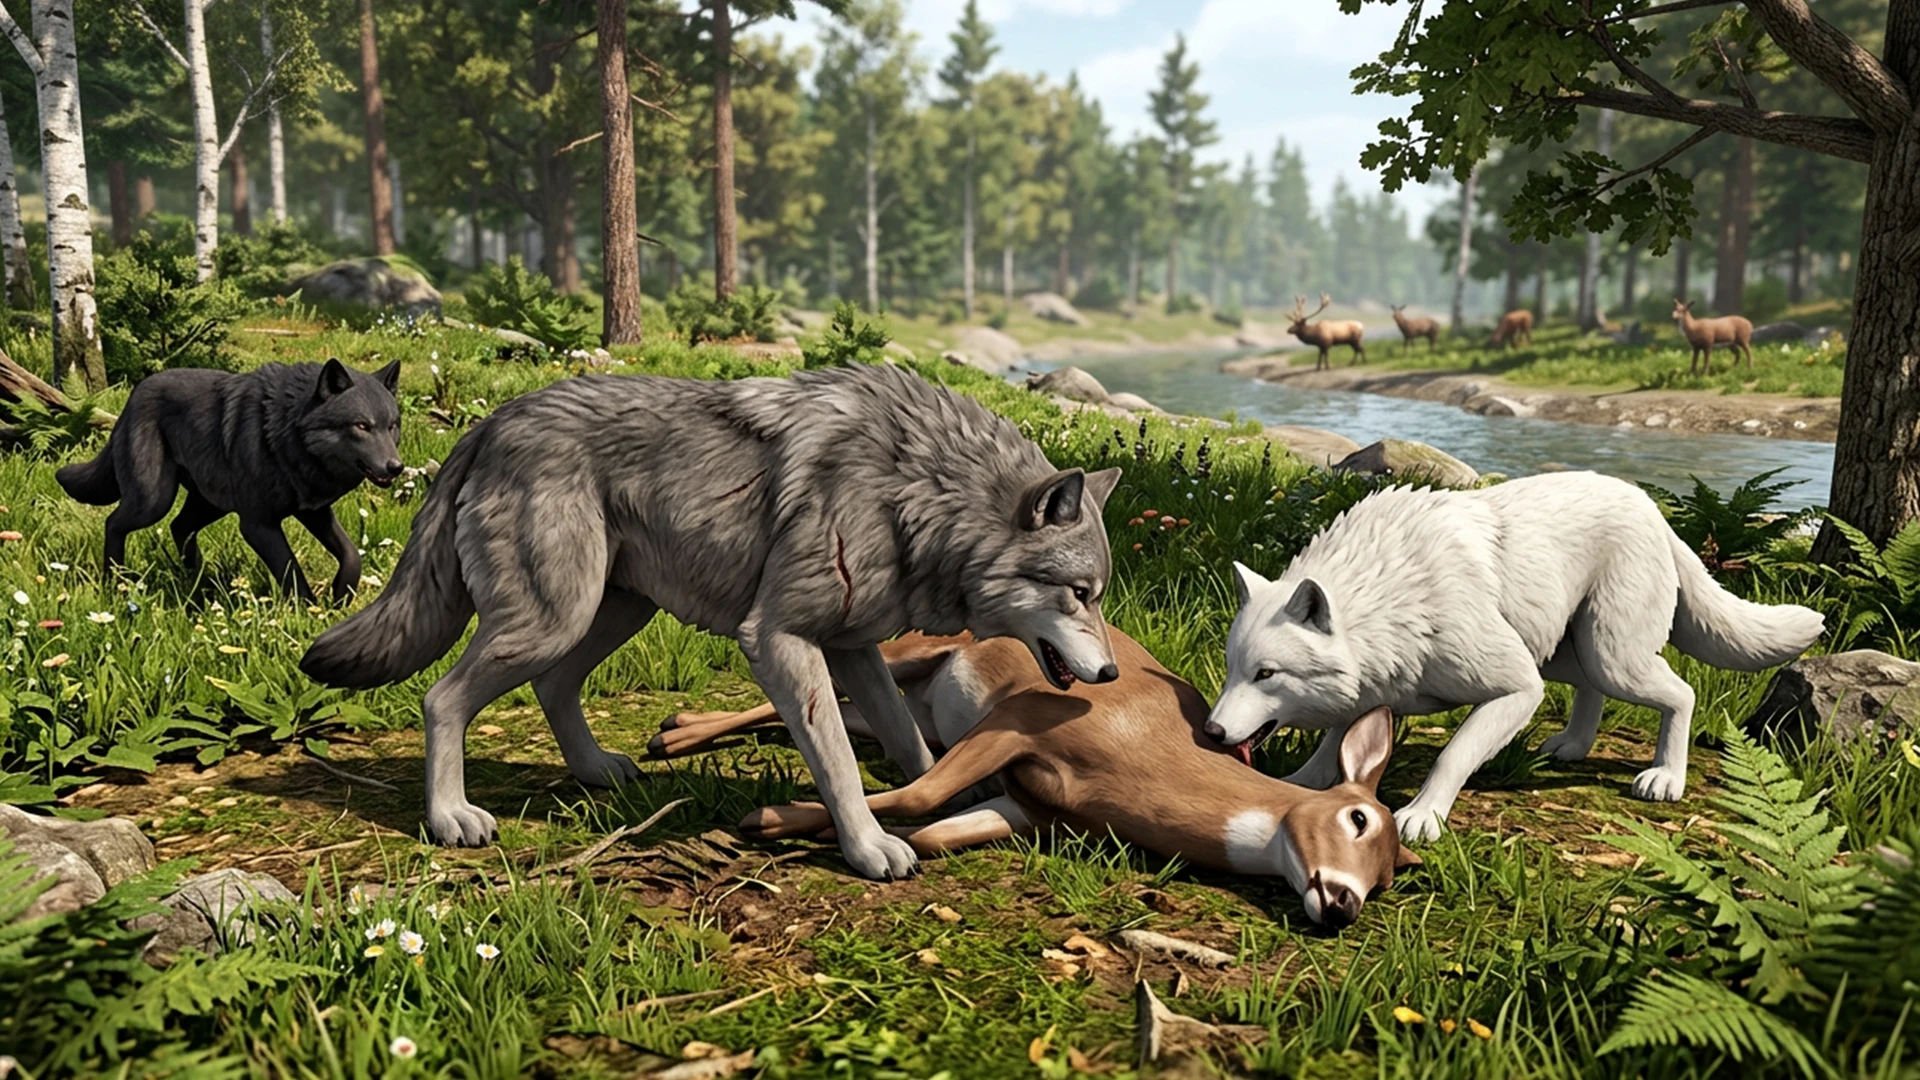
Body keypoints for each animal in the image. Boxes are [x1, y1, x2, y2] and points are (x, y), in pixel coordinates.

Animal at [56, 358, 403, 600]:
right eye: (362, 426)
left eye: (392, 426)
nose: (396, 467)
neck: (285, 434)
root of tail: (134, 395)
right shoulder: (258, 525)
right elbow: (291, 571)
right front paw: (308, 613)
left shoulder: (314, 512)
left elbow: (351, 556)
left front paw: (340, 596)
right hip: (154, 501)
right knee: (114, 522)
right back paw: (116, 582)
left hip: (210, 504)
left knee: (179, 527)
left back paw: (200, 582)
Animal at [298, 363, 1122, 880]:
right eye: (1080, 593)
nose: (1113, 673)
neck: (917, 491)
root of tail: (491, 422)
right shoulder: (782, 640)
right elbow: (839, 761)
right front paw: (867, 848)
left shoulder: (851, 648)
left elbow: (907, 743)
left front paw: (941, 797)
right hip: (553, 620)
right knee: (442, 698)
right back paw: (449, 817)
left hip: (608, 614)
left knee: (554, 688)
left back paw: (595, 771)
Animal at [1204, 471, 1825, 843]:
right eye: (1234, 669)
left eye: (1266, 674)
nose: (1210, 733)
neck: (1396, 595)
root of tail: (1652, 508)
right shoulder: (1376, 687)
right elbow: (1334, 746)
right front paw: (1302, 781)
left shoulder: (1516, 687)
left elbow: (1452, 756)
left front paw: (1422, 816)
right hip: (1565, 651)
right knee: (1592, 691)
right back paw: (1572, 746)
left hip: (1609, 655)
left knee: (1682, 692)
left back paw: (1665, 777)